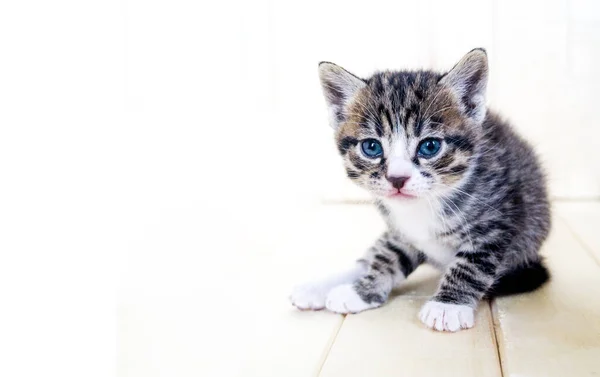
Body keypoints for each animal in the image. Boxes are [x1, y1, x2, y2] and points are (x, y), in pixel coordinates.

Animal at [288, 47, 552, 332]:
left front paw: (448, 305)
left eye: (430, 146)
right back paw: (319, 287)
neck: (425, 204)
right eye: (371, 147)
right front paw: (362, 291)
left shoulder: (497, 219)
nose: (397, 178)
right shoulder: (401, 232)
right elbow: (386, 257)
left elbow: (472, 263)